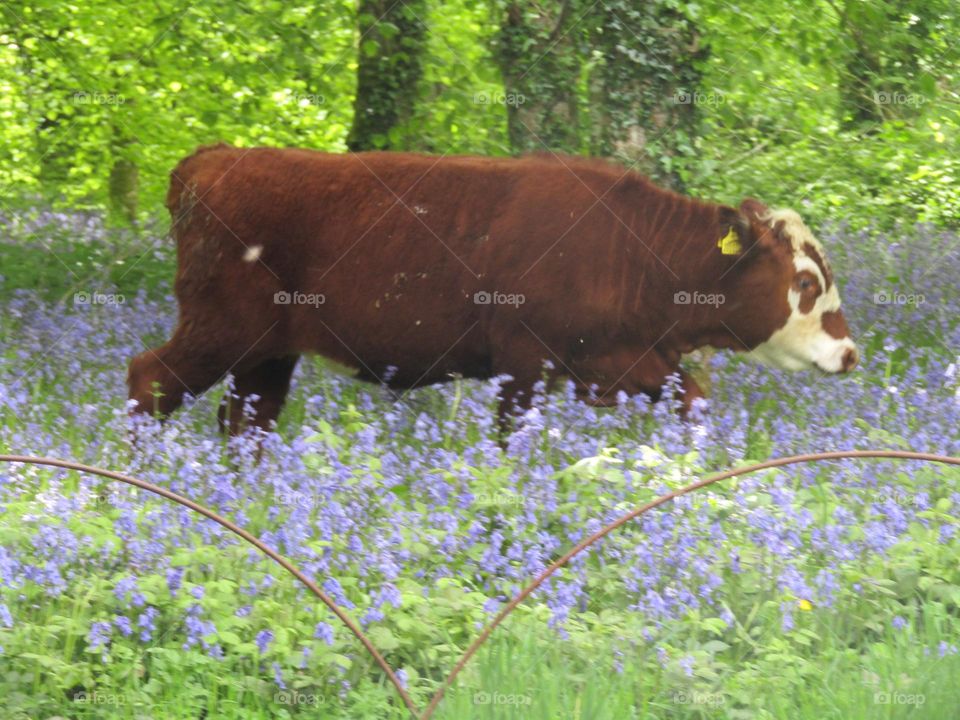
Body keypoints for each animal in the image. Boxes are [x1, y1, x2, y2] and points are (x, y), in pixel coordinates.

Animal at [125, 143, 856, 430]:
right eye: (806, 280)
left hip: (268, 354)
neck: (632, 253)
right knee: (148, 380)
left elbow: (695, 406)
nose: (849, 353)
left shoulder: (630, 364)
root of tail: (214, 159)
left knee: (246, 424)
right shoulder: (522, 366)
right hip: (220, 330)